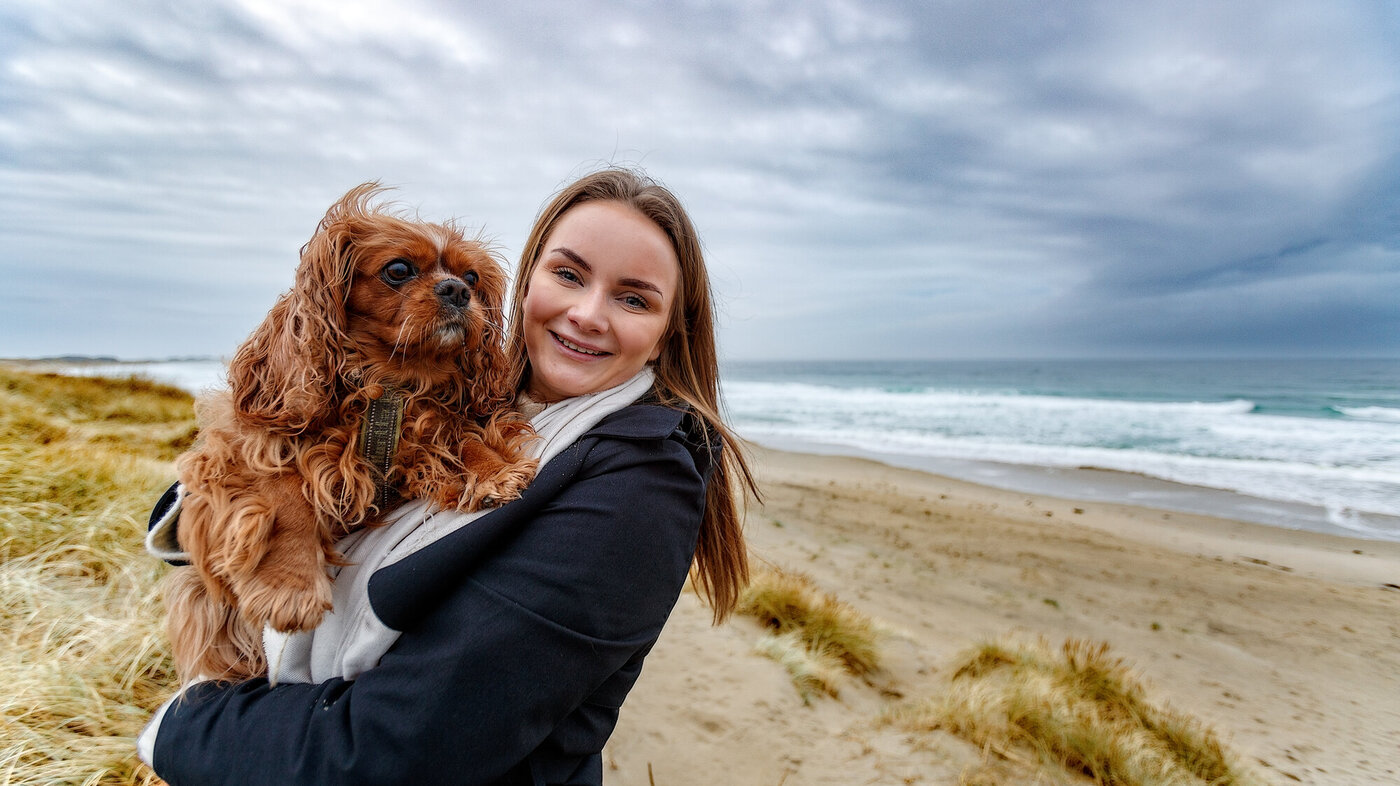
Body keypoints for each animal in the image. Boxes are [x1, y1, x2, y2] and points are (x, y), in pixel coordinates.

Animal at [163, 184, 532, 680]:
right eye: (398, 270)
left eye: (472, 277)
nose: (457, 290)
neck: (390, 387)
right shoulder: (239, 450)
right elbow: (286, 495)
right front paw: (290, 586)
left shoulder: (430, 431)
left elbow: (466, 438)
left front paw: (494, 472)